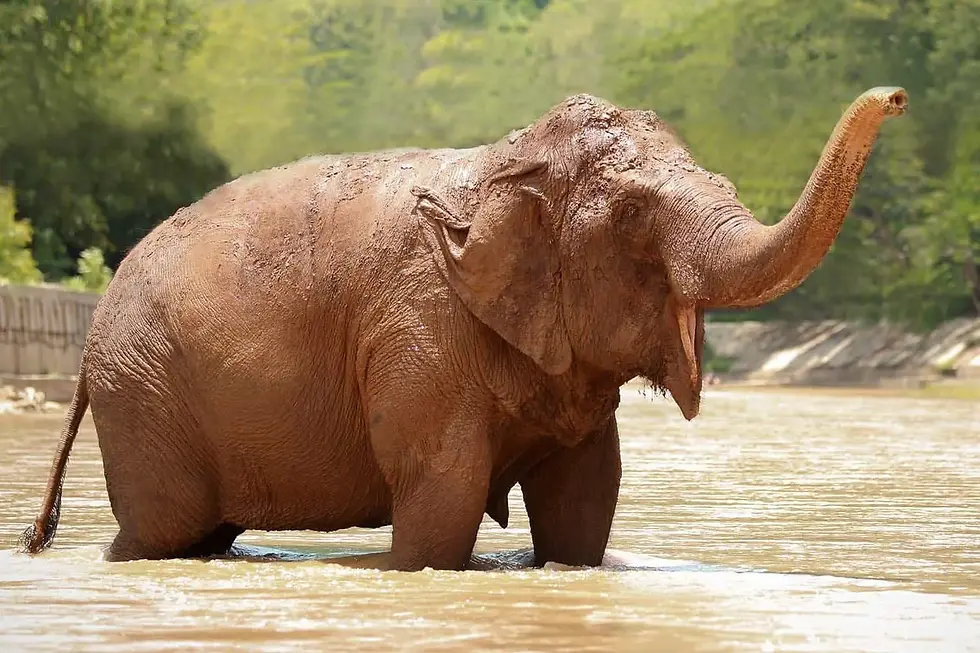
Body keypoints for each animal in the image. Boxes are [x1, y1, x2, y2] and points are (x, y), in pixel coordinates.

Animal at [22, 86, 907, 571]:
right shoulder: (417, 329)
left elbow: (585, 499)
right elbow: (441, 498)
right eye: (631, 215)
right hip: (142, 388)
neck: (503, 162)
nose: (895, 97)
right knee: (162, 531)